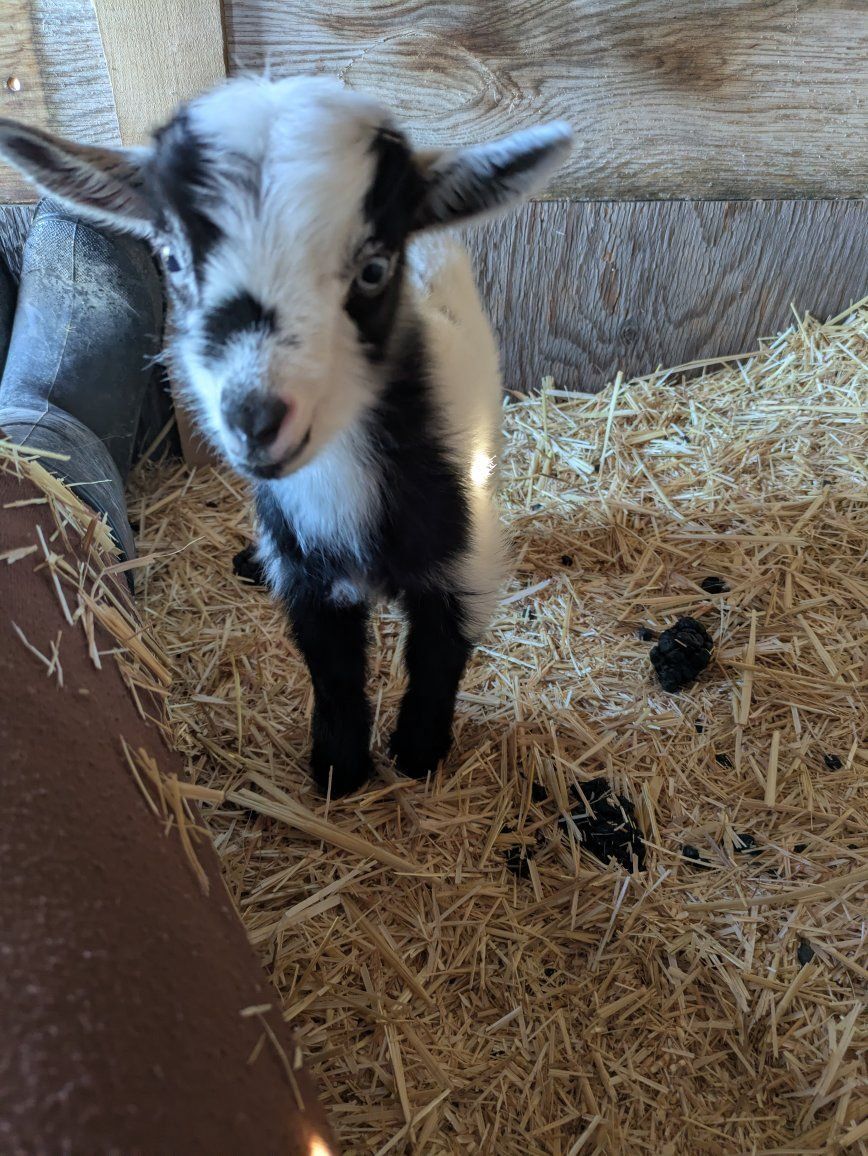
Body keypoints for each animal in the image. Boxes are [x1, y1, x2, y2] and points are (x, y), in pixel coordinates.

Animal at [0, 77, 572, 796]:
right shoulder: (306, 573)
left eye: (375, 268)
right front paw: (339, 767)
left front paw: (418, 753)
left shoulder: (460, 563)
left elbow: (438, 658)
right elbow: (332, 671)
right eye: (172, 259)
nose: (256, 420)